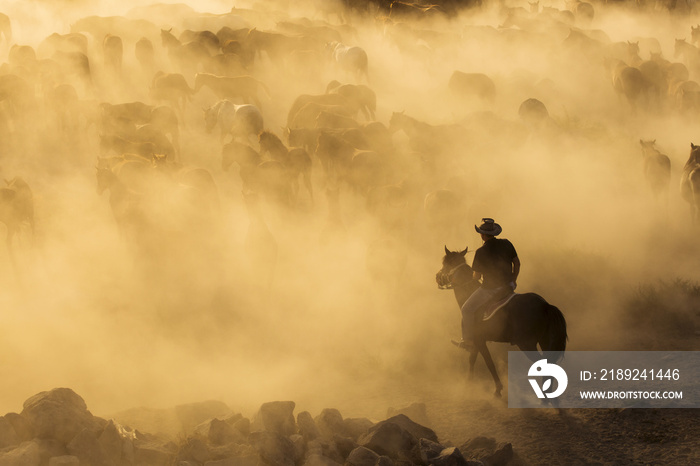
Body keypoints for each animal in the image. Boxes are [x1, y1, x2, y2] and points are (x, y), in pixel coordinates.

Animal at [438, 248, 568, 396]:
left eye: (445, 263)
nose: (437, 276)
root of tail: (545, 305)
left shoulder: (479, 340)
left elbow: (488, 362)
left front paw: (497, 389)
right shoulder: (477, 342)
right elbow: (472, 359)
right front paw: (469, 383)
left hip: (526, 344)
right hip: (544, 341)